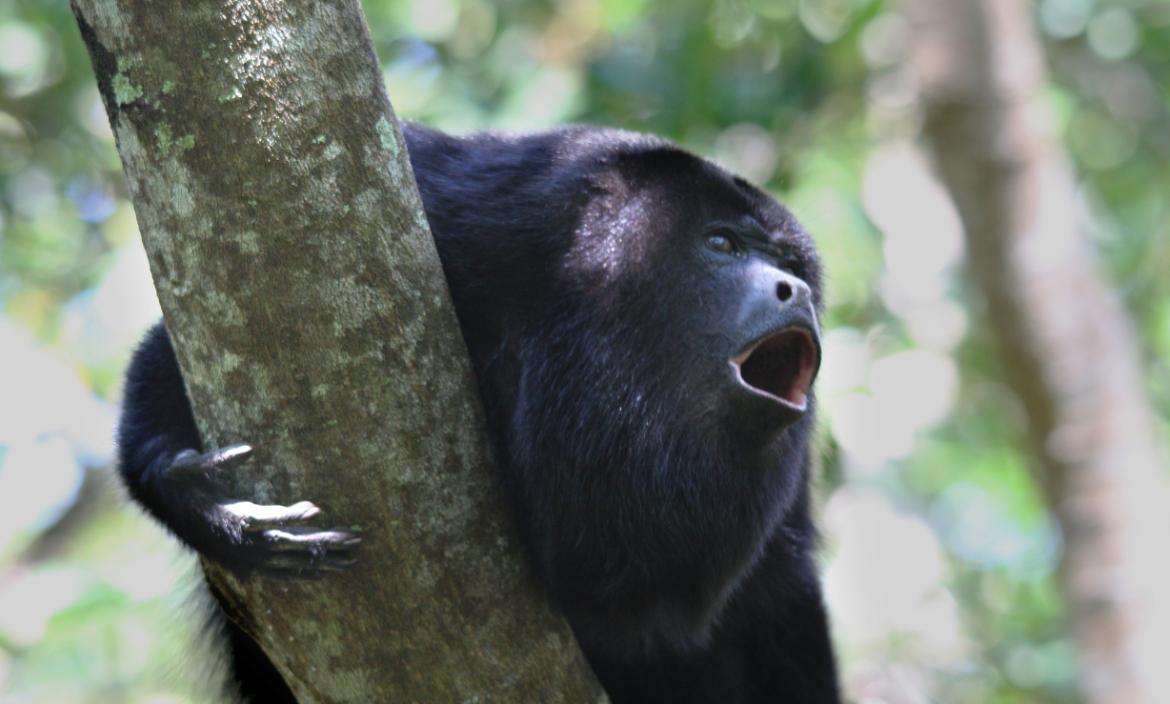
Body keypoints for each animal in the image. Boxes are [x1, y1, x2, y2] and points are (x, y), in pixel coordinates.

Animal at [118, 123, 837, 696]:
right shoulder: (488, 218)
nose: (795, 289)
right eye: (722, 245)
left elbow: (784, 596)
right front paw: (202, 503)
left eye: (791, 263)